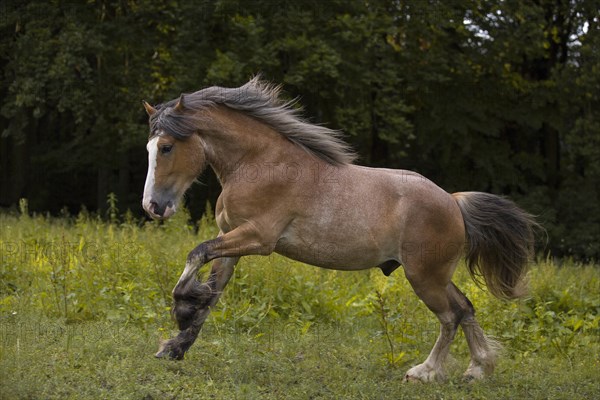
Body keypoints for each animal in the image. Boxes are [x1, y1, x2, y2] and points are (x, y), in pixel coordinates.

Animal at [143, 77, 536, 382]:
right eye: (149, 147)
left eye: (167, 147)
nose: (153, 207)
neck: (259, 163)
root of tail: (454, 203)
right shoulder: (232, 242)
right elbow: (211, 292)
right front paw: (176, 345)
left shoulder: (257, 238)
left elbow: (196, 255)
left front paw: (182, 309)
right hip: (435, 275)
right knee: (466, 308)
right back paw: (477, 370)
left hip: (424, 277)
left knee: (451, 316)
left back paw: (424, 372)